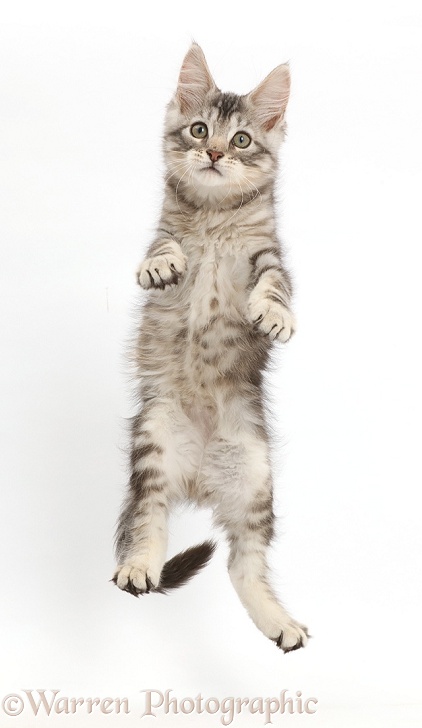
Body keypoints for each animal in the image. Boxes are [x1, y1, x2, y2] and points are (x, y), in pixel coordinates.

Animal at [113, 42, 308, 652]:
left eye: (241, 139)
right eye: (200, 130)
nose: (217, 152)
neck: (217, 217)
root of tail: (199, 478)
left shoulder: (268, 254)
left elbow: (275, 284)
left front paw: (274, 315)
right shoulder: (165, 230)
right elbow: (163, 248)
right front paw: (161, 267)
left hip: (255, 479)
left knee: (244, 564)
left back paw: (278, 622)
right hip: (152, 442)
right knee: (149, 519)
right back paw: (138, 567)